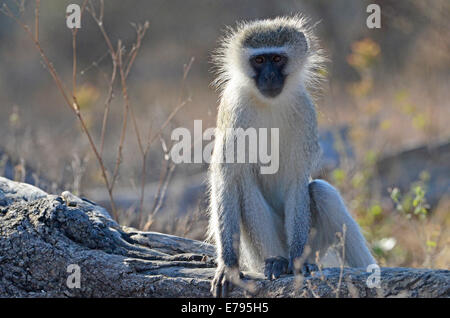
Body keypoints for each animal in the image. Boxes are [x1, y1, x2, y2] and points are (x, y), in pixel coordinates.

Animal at [207, 15, 376, 298]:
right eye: (259, 60)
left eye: (277, 59)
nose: (269, 76)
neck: (269, 103)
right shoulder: (233, 107)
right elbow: (227, 177)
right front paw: (228, 266)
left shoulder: (305, 110)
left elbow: (298, 180)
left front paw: (298, 262)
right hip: (259, 251)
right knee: (244, 186)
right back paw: (277, 260)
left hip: (315, 244)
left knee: (322, 191)